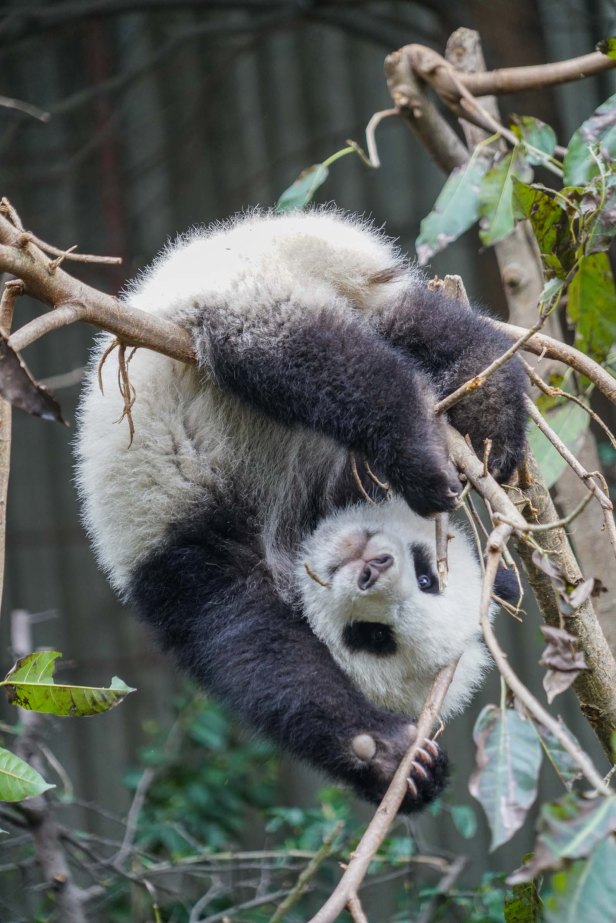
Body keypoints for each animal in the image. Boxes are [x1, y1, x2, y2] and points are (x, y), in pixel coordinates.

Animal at [76, 207, 526, 812]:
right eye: (371, 635)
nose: (371, 567)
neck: (305, 535)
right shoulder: (200, 548)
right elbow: (254, 646)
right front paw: (393, 758)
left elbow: (260, 654)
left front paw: (395, 763)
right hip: (237, 293)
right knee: (310, 358)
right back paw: (427, 446)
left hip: (341, 287)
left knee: (411, 321)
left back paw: (488, 400)